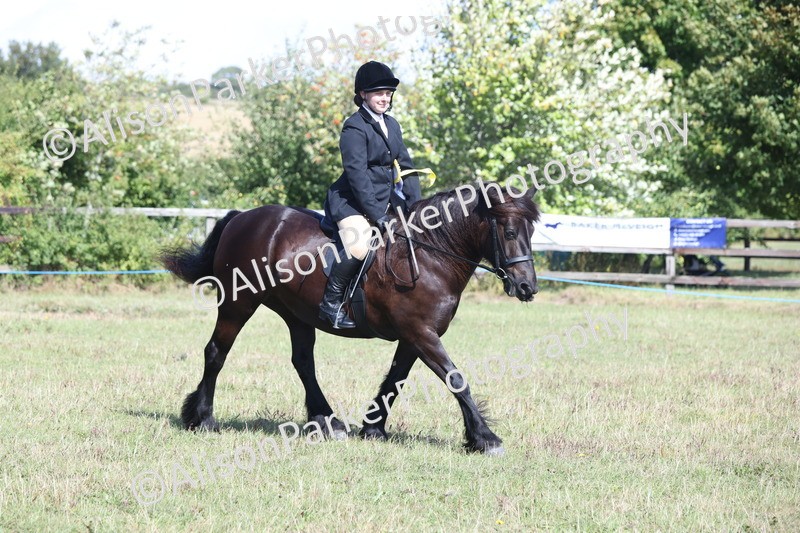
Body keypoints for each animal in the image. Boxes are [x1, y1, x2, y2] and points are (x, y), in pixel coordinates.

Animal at [160, 183, 540, 455]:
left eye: (531, 233)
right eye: (508, 233)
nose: (527, 287)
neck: (430, 256)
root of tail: (242, 218)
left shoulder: (414, 336)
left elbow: (395, 380)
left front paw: (373, 428)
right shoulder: (420, 333)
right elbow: (456, 379)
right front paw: (486, 438)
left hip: (297, 314)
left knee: (303, 363)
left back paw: (327, 422)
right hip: (238, 303)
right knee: (216, 352)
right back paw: (203, 419)